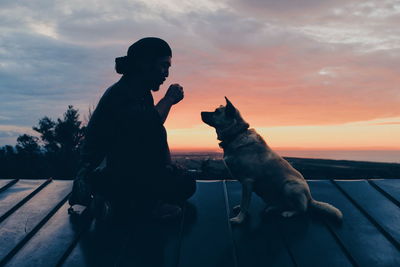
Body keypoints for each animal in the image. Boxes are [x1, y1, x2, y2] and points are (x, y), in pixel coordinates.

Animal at [202, 97, 342, 225]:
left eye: (216, 112)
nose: (201, 112)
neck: (237, 134)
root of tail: (310, 198)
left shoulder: (247, 181)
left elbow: (245, 202)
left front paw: (240, 219)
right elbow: (244, 202)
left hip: (289, 186)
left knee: (302, 209)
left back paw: (289, 212)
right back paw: (272, 208)